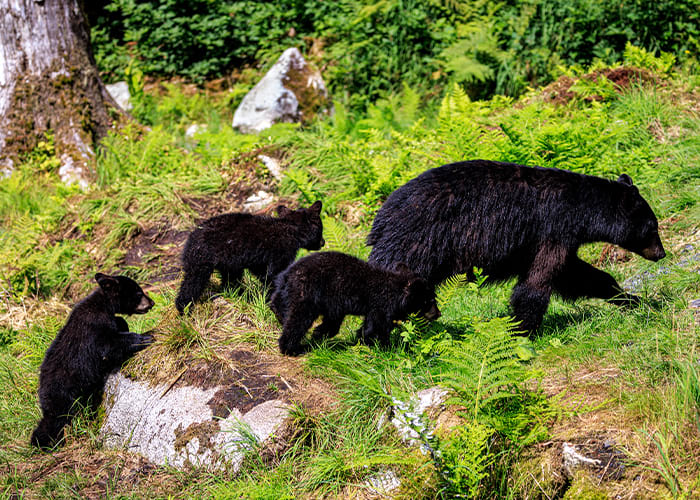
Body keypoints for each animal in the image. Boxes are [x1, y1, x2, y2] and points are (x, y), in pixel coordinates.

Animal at [31, 273, 155, 449]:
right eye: (138, 293)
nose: (152, 303)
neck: (103, 305)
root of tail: (41, 391)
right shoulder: (94, 326)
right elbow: (109, 345)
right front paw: (144, 338)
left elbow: (119, 324)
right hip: (63, 395)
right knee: (57, 419)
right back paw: (45, 441)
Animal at [175, 201, 324, 314]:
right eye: (321, 229)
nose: (323, 242)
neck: (291, 230)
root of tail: (190, 242)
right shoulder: (281, 253)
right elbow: (276, 274)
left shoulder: (258, 260)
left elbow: (263, 274)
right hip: (202, 262)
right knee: (192, 283)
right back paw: (184, 309)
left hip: (227, 263)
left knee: (229, 279)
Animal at [270, 251, 441, 356]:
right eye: (430, 300)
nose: (438, 314)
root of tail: (289, 272)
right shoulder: (379, 305)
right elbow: (377, 327)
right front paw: (386, 347)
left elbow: (365, 326)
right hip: (308, 293)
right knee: (299, 319)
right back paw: (292, 348)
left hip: (290, 290)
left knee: (279, 302)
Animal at [367, 160, 666, 334]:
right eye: (653, 227)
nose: (661, 253)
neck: (577, 209)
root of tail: (379, 221)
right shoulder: (551, 230)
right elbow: (536, 283)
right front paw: (522, 331)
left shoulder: (554, 240)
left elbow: (580, 276)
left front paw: (632, 299)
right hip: (416, 246)